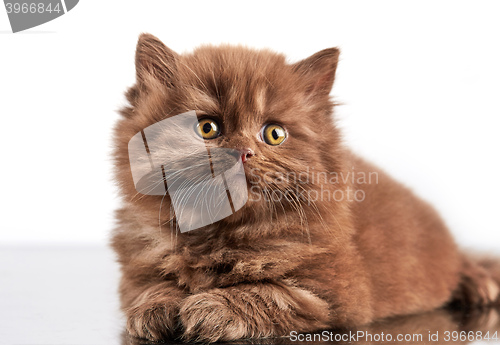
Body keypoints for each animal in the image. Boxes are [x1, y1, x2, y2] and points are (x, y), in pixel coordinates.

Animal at [112, 33, 500, 342]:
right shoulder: (138, 268)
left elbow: (265, 292)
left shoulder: (330, 290)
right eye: (207, 128)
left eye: (274, 134)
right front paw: (156, 309)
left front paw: (209, 308)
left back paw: (477, 283)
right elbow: (152, 287)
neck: (223, 234)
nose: (243, 152)